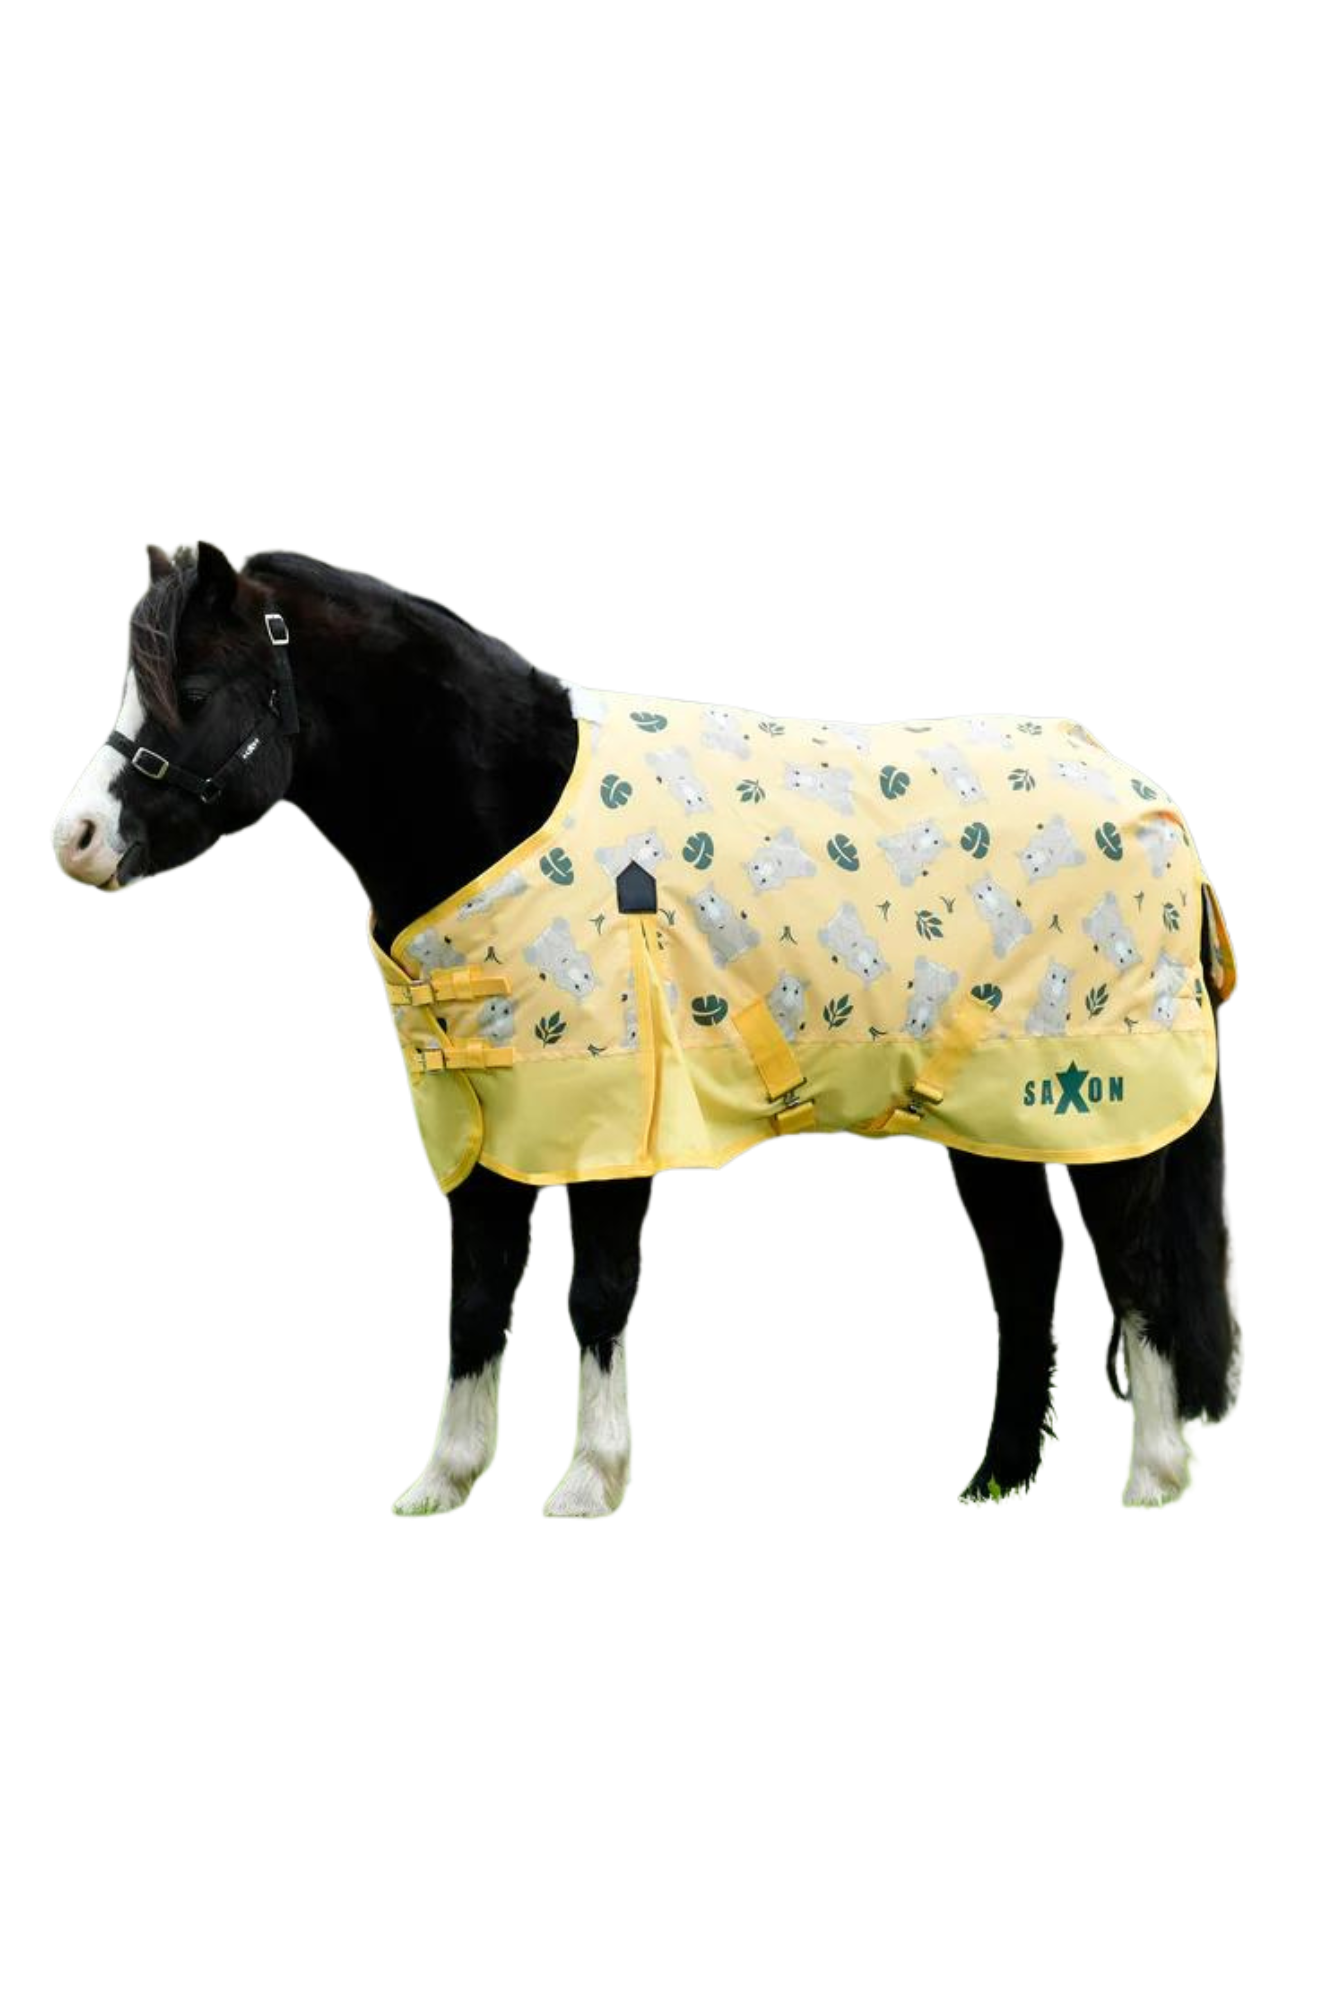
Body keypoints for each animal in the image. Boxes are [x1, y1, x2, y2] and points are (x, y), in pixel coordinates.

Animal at [49, 539, 1243, 1516]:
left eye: (193, 687)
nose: (77, 839)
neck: (509, 807)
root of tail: (1148, 796)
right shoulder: (480, 1121)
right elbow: (476, 1299)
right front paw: (444, 1481)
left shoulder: (619, 1115)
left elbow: (596, 1295)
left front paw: (588, 1481)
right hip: (985, 1113)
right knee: (1025, 1270)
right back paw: (997, 1478)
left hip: (1102, 1105)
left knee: (1133, 1271)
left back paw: (1153, 1475)